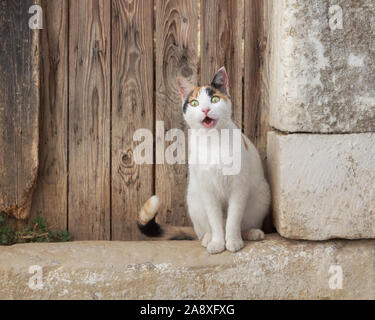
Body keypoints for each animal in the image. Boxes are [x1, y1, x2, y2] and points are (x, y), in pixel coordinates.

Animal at [137, 66, 270, 254]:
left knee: (242, 222)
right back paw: (208, 238)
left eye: (214, 99)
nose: (205, 110)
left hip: (261, 195)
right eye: (194, 103)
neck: (212, 141)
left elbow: (234, 218)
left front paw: (233, 240)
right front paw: (217, 243)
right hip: (194, 199)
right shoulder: (207, 189)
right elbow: (215, 220)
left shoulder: (239, 187)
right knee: (203, 230)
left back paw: (251, 233)